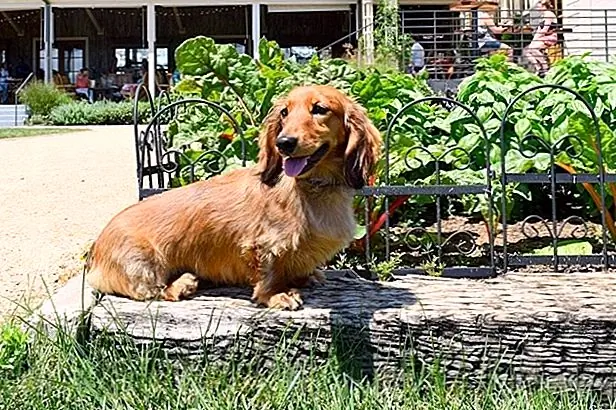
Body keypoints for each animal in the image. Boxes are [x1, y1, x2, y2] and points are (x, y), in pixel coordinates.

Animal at [85, 85, 382, 310]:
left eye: (319, 109)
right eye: (285, 112)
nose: (283, 143)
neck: (312, 187)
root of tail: (95, 252)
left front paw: (305, 277)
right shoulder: (262, 247)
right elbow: (268, 274)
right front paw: (277, 295)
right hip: (143, 263)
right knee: (151, 292)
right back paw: (181, 285)